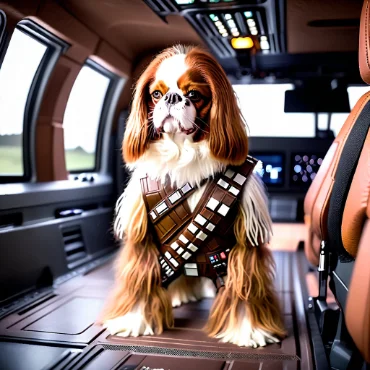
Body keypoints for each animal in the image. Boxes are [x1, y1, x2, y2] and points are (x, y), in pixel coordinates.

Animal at [101, 44, 286, 346]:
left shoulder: (243, 244)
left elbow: (244, 285)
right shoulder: (144, 238)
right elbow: (142, 278)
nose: (171, 98)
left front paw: (248, 329)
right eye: (156, 94)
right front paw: (134, 320)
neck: (181, 150)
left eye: (194, 95)